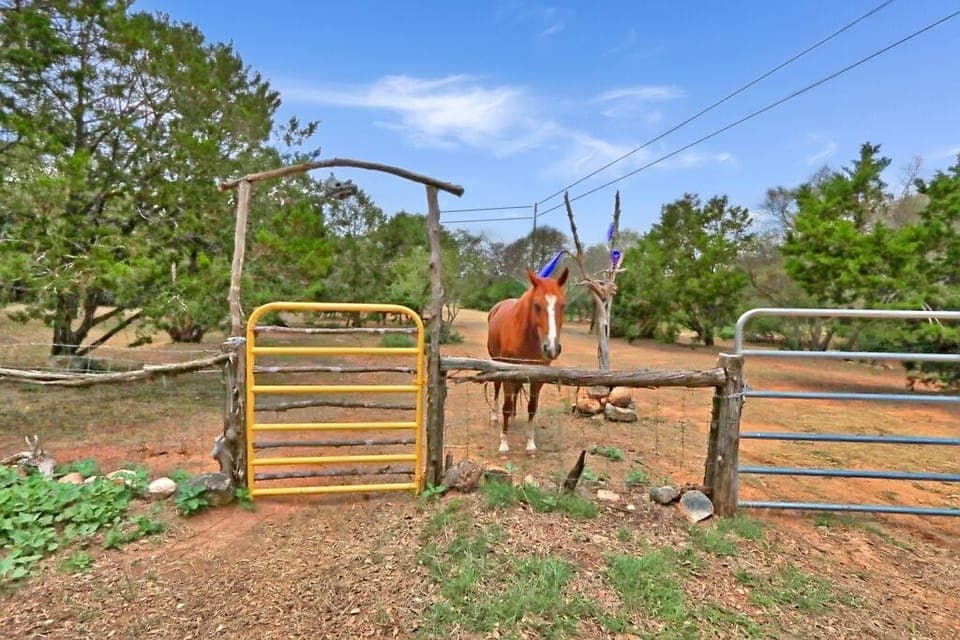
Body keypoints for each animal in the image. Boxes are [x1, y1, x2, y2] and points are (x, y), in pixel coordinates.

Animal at [486, 266, 569, 455]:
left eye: (562, 305)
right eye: (537, 305)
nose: (552, 348)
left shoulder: (537, 379)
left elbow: (532, 407)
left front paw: (530, 443)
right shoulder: (507, 374)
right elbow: (506, 406)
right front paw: (504, 443)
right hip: (496, 364)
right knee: (496, 389)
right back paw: (494, 417)